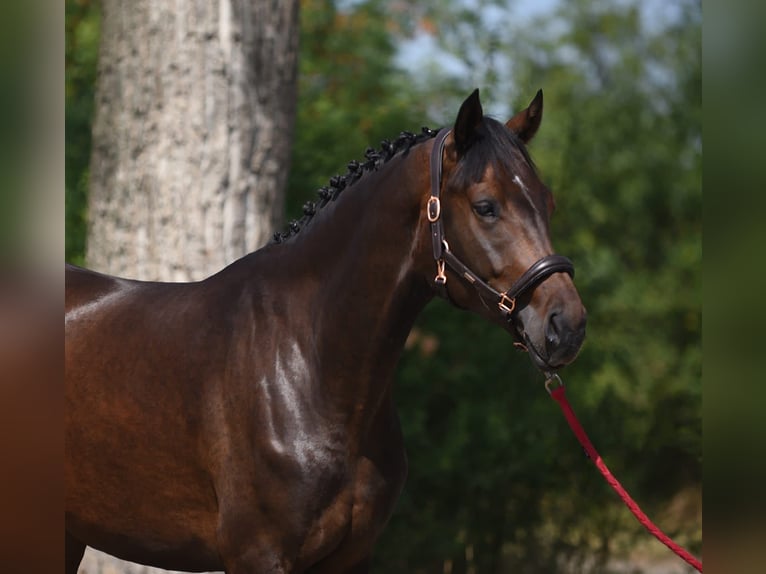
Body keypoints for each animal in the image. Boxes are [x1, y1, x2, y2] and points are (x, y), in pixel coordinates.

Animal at [66, 90, 592, 574]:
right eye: (486, 206)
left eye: (548, 202)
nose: (566, 326)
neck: (306, 362)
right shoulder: (257, 555)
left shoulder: (350, 557)